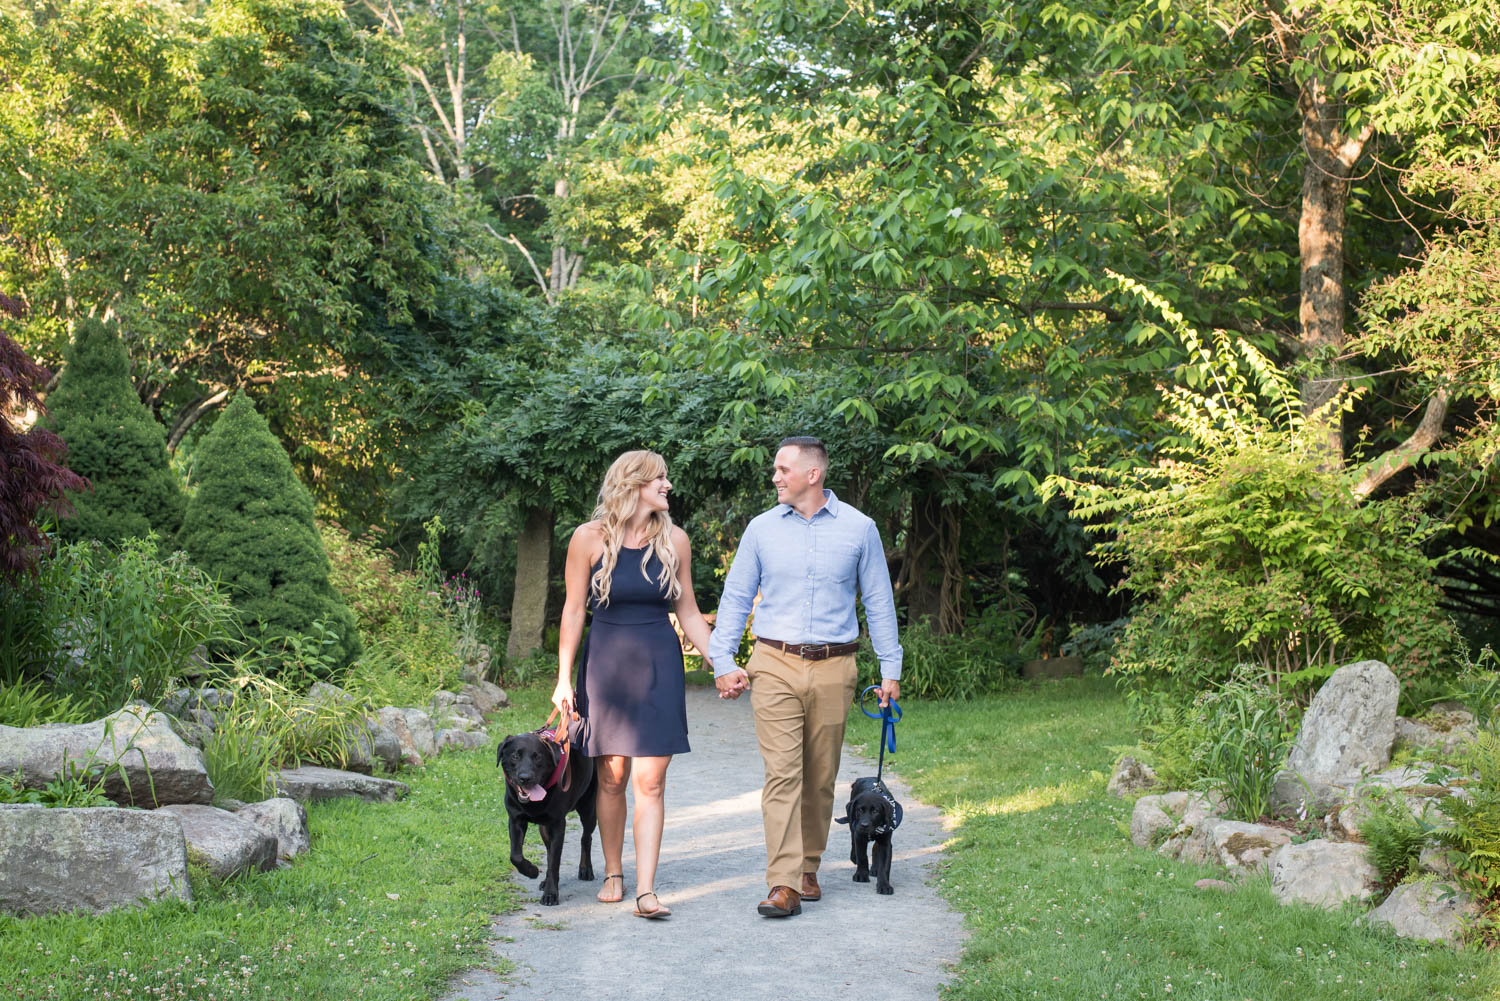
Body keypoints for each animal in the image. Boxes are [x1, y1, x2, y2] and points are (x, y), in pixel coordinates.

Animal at [501, 729, 600, 906]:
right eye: (515, 756)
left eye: (537, 756)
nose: (525, 777)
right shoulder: (515, 820)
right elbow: (516, 855)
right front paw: (532, 871)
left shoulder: (557, 824)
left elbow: (554, 861)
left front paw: (550, 894)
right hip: (544, 828)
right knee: (549, 851)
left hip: (588, 808)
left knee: (586, 838)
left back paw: (585, 869)